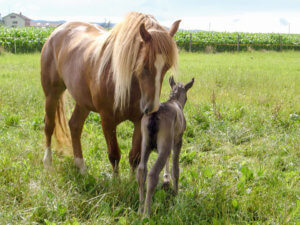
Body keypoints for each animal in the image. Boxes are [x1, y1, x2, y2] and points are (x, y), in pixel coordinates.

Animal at [40, 11, 179, 174]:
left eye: (166, 67)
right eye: (144, 64)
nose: (151, 108)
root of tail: (56, 31)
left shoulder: (139, 120)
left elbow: (134, 157)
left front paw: (132, 180)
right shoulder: (107, 120)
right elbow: (114, 155)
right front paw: (115, 180)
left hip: (83, 102)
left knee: (74, 126)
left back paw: (81, 167)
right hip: (52, 94)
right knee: (49, 125)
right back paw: (47, 161)